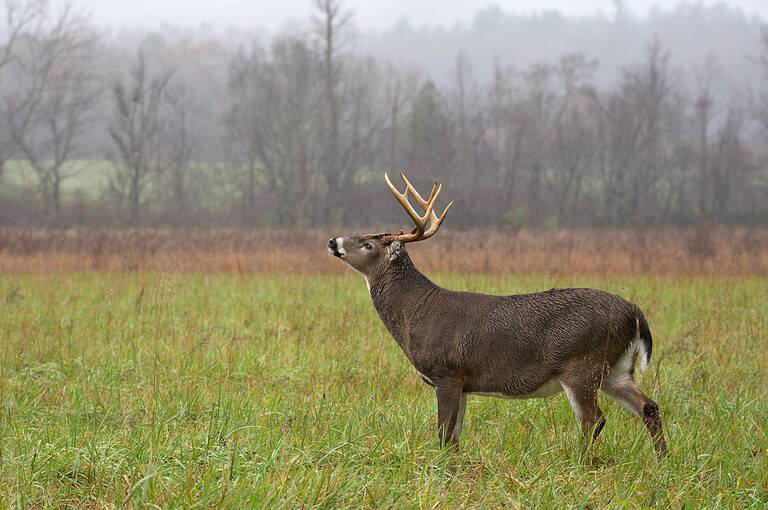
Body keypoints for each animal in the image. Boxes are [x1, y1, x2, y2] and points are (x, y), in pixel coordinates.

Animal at [327, 173, 668, 456]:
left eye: (368, 244)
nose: (333, 241)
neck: (416, 311)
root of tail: (635, 312)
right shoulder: (463, 382)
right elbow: (455, 436)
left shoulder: (446, 371)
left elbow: (444, 434)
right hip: (616, 369)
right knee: (649, 407)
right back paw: (661, 460)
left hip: (582, 364)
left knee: (594, 420)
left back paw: (581, 463)